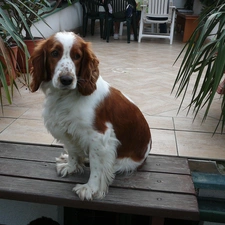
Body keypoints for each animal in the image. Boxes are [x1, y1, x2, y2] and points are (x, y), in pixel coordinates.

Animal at [29, 31, 151, 200]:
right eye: (54, 53)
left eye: (77, 56)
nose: (66, 80)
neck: (66, 96)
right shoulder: (67, 130)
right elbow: (72, 152)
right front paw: (71, 166)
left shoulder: (100, 137)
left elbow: (96, 167)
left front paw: (90, 188)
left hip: (123, 162)